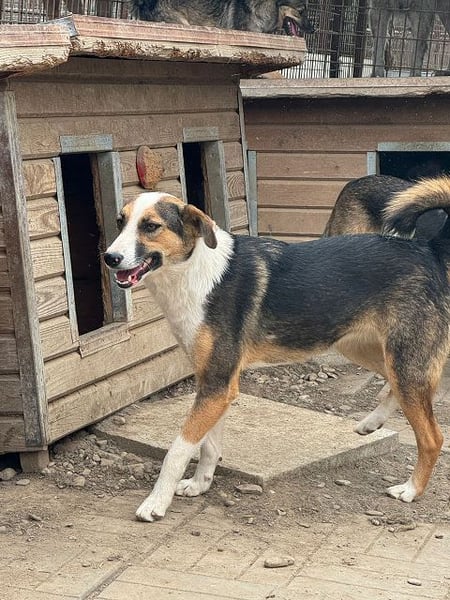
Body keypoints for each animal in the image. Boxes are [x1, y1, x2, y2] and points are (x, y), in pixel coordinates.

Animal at [104, 179, 450, 521]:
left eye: (151, 226)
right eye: (120, 222)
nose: (109, 257)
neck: (193, 273)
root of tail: (428, 250)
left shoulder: (216, 385)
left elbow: (178, 450)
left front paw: (155, 503)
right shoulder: (215, 385)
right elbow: (208, 445)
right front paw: (200, 484)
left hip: (404, 360)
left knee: (432, 436)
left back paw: (410, 490)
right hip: (363, 348)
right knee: (401, 388)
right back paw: (372, 422)